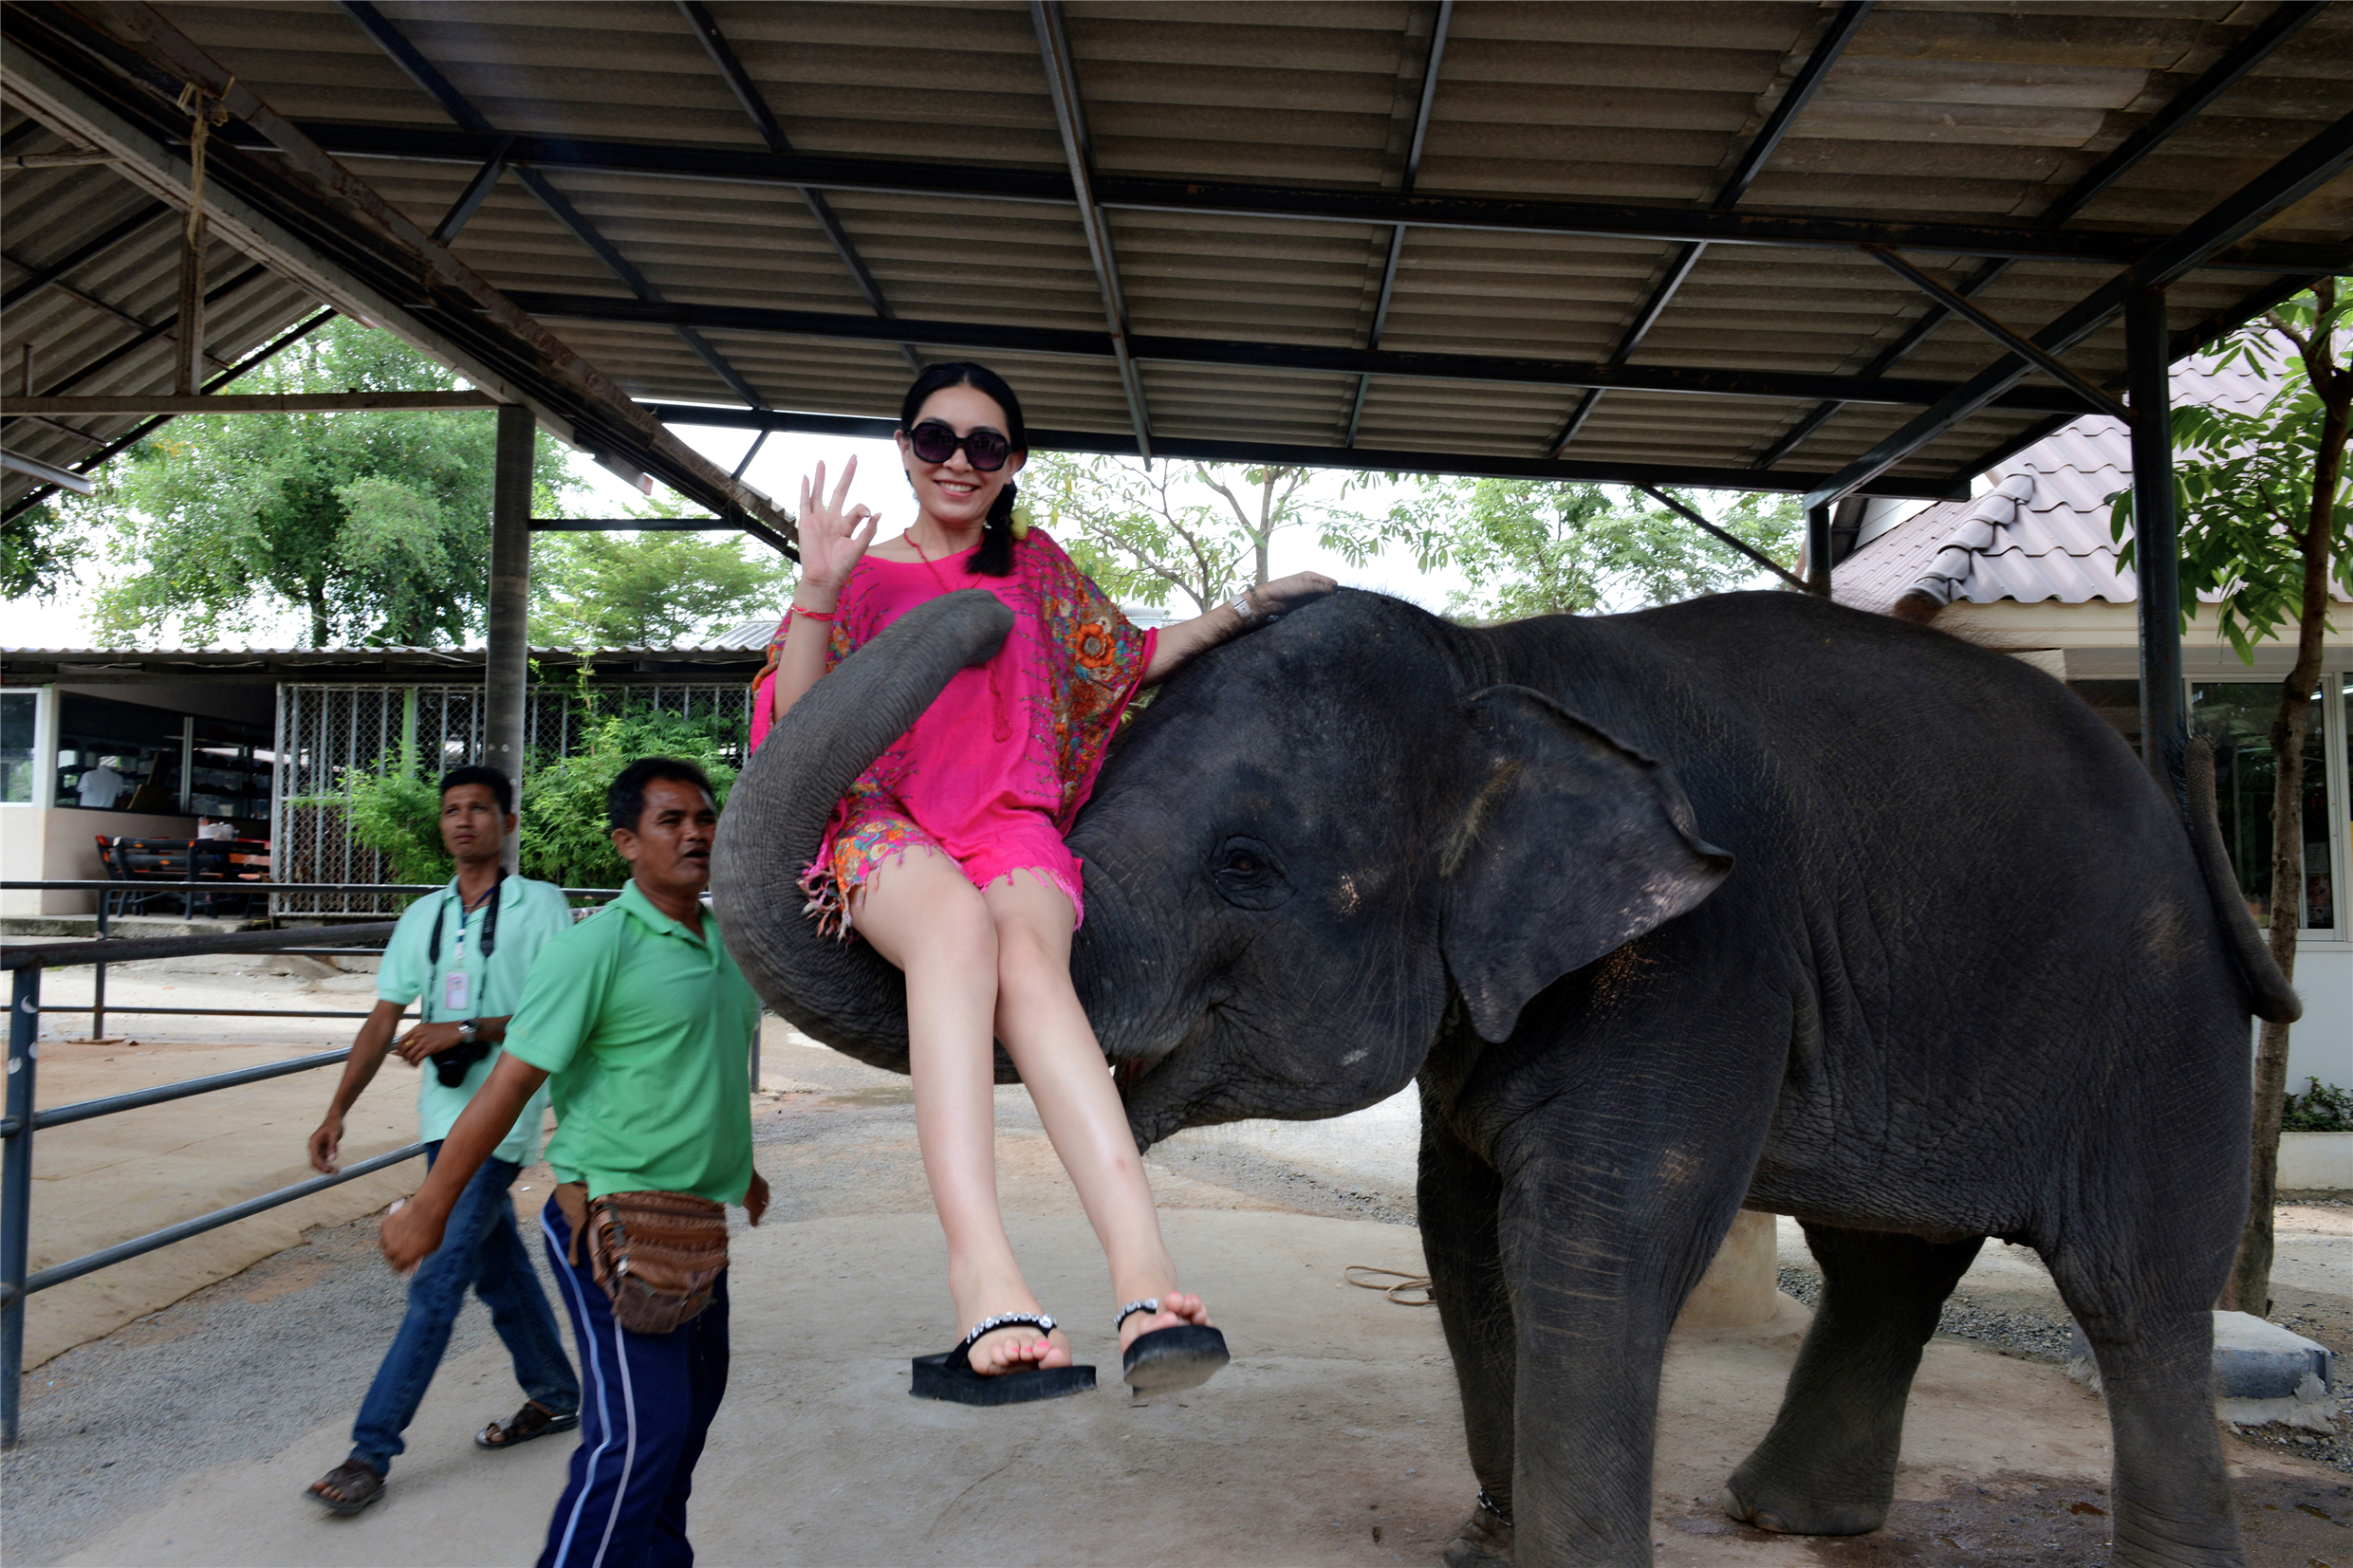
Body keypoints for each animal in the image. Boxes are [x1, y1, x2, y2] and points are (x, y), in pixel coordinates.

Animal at [714, 585, 2296, 1568]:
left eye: (1247, 864)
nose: (983, 610)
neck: (1492, 666)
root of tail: (2191, 826)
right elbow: (1462, 1233)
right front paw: (1489, 1542)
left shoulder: (1704, 957)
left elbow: (1589, 1243)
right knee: (1885, 1260)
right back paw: (1785, 1516)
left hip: (2159, 1025)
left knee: (2136, 1290)